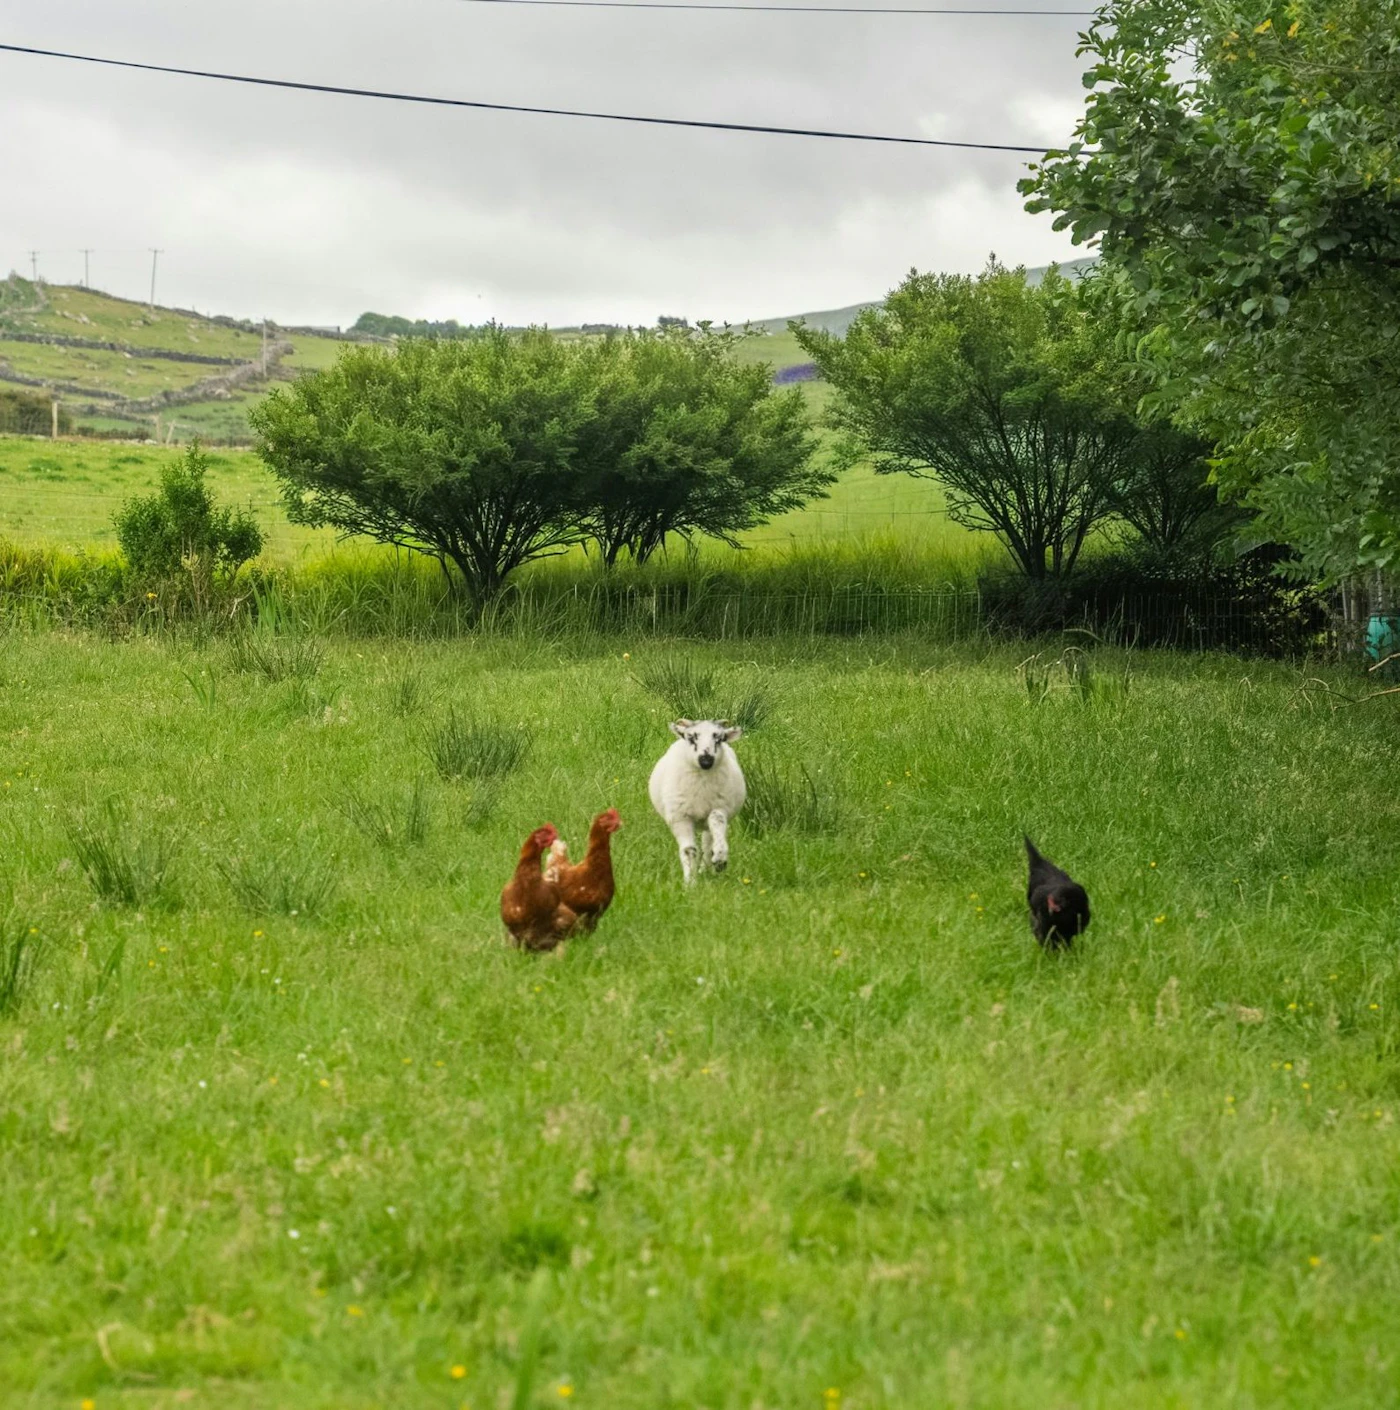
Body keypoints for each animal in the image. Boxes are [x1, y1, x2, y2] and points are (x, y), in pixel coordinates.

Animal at [648, 718, 746, 885]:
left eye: (719, 739)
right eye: (691, 738)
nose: (706, 761)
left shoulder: (720, 808)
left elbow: (717, 823)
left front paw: (720, 859)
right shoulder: (680, 817)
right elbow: (689, 850)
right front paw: (690, 882)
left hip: (707, 821)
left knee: (707, 845)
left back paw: (706, 868)